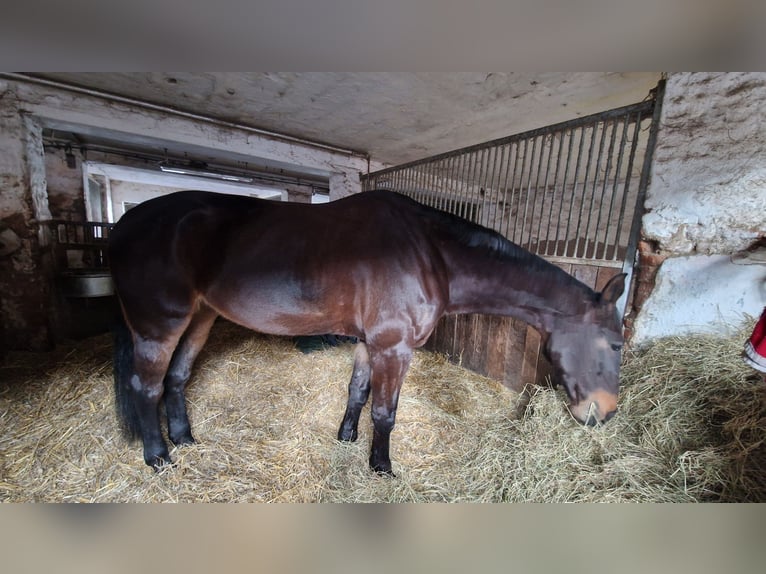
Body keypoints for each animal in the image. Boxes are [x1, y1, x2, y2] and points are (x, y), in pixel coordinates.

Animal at [108, 189, 626, 475]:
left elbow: (357, 392)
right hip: (159, 326)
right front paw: (381, 466)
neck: (432, 254)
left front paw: (346, 438)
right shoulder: (394, 347)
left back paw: (185, 439)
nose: (604, 413)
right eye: (616, 343)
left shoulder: (368, 341)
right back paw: (158, 457)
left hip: (200, 319)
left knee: (177, 379)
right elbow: (385, 412)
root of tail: (124, 223)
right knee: (147, 386)